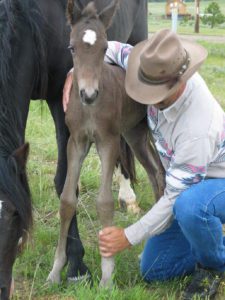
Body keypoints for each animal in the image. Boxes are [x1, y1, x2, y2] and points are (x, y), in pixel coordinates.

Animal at [48, 0, 164, 286]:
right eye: (72, 47)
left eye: (103, 48)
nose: (88, 94)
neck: (90, 108)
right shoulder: (76, 142)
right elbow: (67, 200)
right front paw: (56, 270)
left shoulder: (108, 142)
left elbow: (104, 202)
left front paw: (107, 275)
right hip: (134, 133)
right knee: (156, 173)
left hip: (145, 130)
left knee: (163, 173)